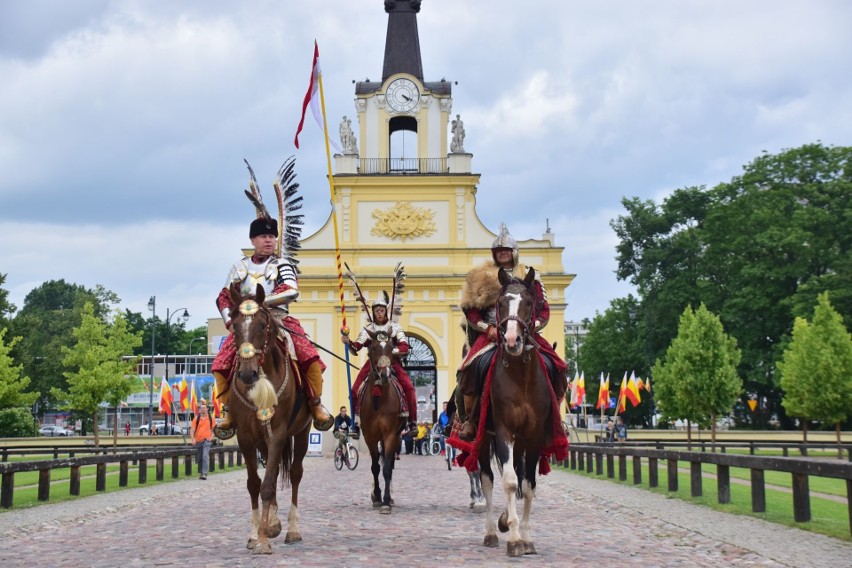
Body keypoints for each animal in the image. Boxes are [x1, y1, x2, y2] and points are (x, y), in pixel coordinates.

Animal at [230, 284, 312, 556]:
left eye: (263, 325)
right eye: (234, 326)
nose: (247, 374)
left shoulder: (278, 433)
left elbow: (267, 485)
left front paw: (264, 540)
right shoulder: (246, 438)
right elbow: (255, 484)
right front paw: (256, 533)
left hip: (301, 433)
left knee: (295, 473)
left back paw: (292, 529)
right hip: (262, 441)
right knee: (274, 474)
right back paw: (274, 523)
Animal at [354, 326, 404, 512]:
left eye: (391, 348)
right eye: (374, 348)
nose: (384, 374)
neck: (380, 399)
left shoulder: (390, 435)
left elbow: (387, 468)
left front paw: (386, 501)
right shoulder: (370, 436)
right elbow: (375, 467)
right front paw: (376, 496)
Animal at [476, 268, 556, 556]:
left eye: (530, 303)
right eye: (500, 303)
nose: (512, 340)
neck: (521, 379)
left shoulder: (533, 437)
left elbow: (528, 485)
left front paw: (526, 537)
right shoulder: (503, 432)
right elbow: (509, 481)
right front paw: (512, 536)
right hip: (482, 439)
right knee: (487, 479)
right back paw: (491, 531)